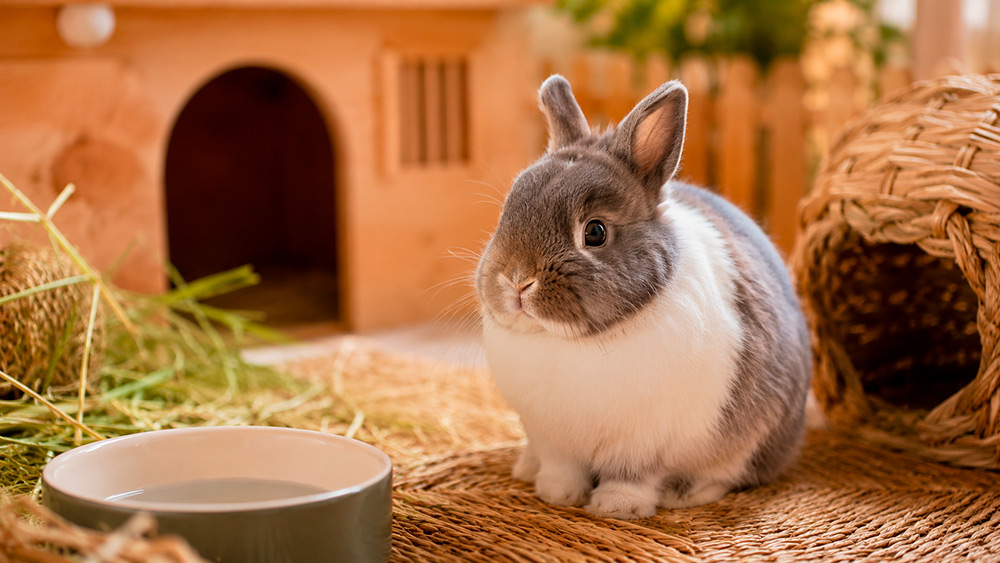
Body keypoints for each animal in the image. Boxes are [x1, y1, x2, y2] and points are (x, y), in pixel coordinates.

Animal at [474, 75, 812, 520]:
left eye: (595, 232)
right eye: (508, 212)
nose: (516, 281)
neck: (572, 342)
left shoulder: (645, 443)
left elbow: (632, 477)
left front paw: (616, 507)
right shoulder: (552, 439)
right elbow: (563, 468)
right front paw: (557, 494)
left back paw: (685, 493)